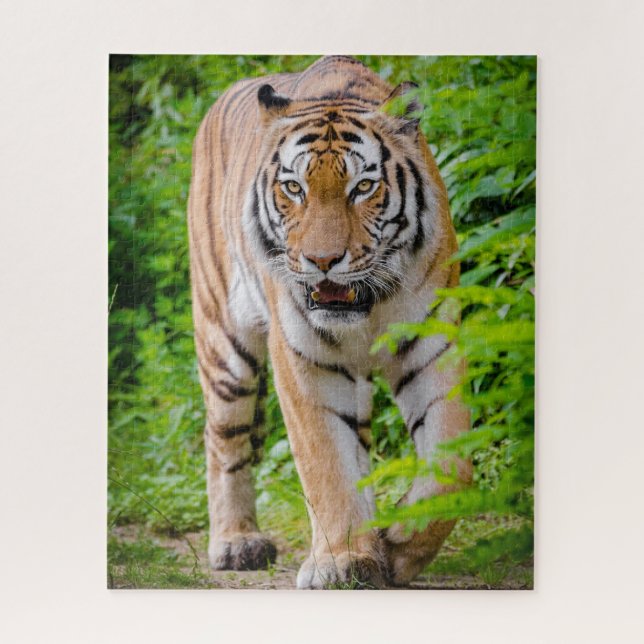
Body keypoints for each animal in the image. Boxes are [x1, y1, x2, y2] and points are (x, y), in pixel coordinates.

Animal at [187, 55, 471, 589]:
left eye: (363, 187)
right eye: (293, 188)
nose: (321, 261)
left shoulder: (431, 345)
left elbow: (452, 465)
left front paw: (397, 547)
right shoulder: (305, 359)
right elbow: (326, 465)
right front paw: (343, 561)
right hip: (225, 344)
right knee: (224, 440)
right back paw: (237, 543)